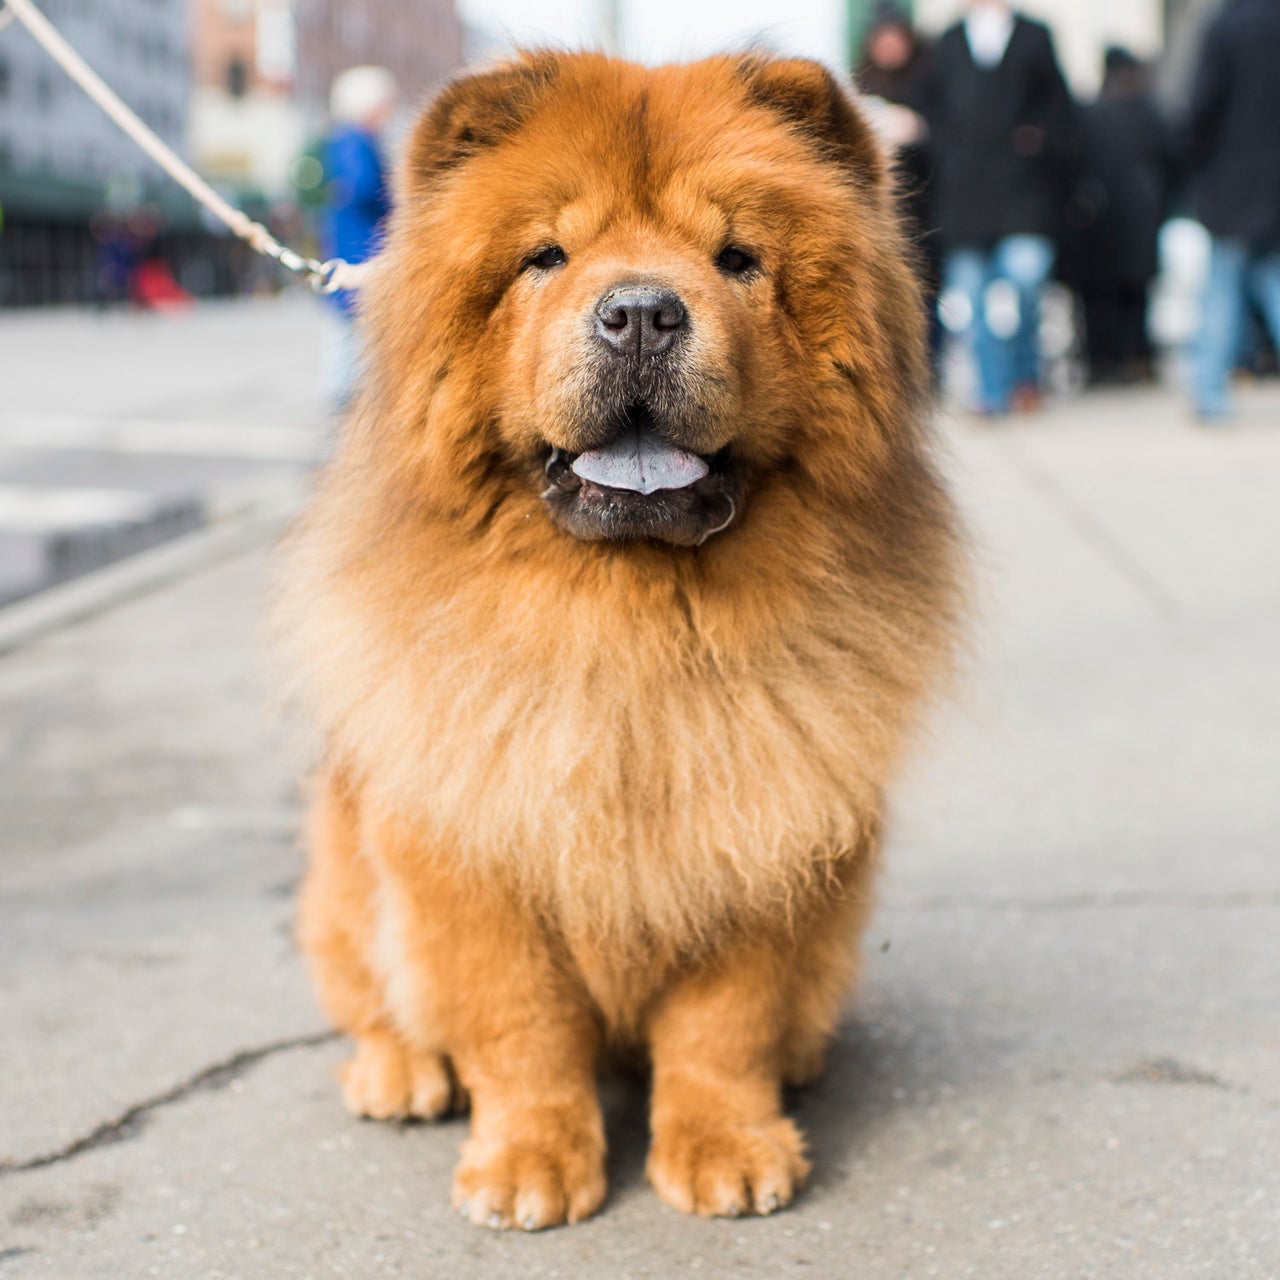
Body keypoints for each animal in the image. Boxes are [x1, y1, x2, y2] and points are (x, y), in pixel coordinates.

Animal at [277, 49, 962, 1228]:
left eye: (737, 258)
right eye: (545, 256)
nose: (641, 312)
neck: (632, 631)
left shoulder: (764, 837)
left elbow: (722, 1025)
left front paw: (727, 1148)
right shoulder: (472, 850)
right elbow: (520, 1026)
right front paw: (528, 1165)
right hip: (344, 879)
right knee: (374, 997)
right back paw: (398, 1072)